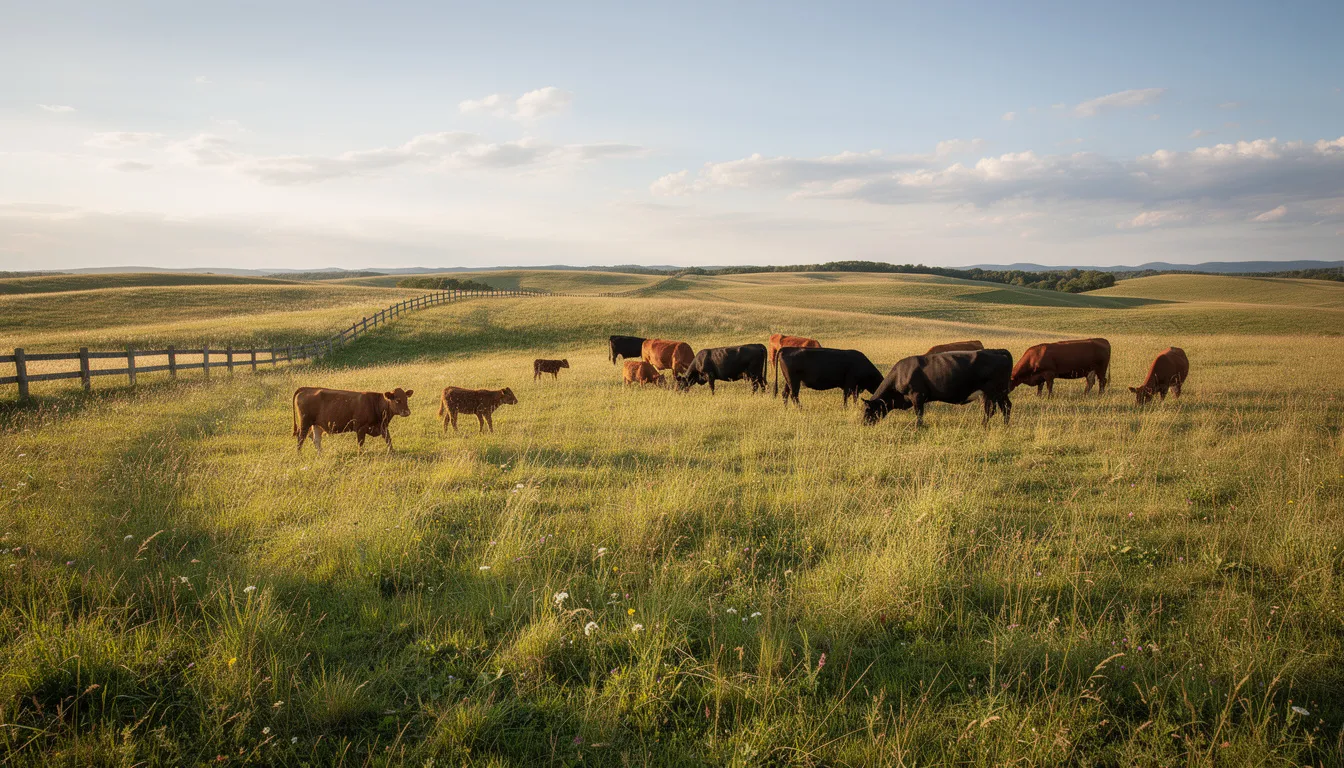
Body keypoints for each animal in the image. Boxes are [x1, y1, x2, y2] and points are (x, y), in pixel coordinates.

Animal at [862, 349, 1014, 428]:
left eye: (867, 410)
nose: (863, 423)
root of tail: (998, 351)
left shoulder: (917, 395)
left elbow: (919, 413)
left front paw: (918, 427)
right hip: (1000, 392)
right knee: (1006, 406)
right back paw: (1005, 426)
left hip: (990, 391)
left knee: (990, 410)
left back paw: (983, 426)